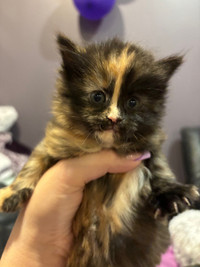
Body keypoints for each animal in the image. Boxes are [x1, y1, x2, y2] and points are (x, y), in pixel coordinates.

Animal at [0, 36, 199, 267]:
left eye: (132, 102)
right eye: (98, 97)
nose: (114, 119)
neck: (105, 145)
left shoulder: (150, 147)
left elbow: (159, 167)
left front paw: (172, 192)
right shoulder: (54, 142)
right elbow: (33, 163)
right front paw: (10, 193)